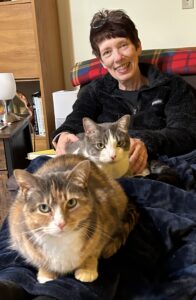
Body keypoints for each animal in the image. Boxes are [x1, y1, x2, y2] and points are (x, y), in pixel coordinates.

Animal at [8, 155, 138, 284]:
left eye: (71, 202)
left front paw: (87, 269)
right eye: (43, 208)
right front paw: (46, 274)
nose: (61, 223)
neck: (61, 241)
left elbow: (94, 251)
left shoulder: (106, 220)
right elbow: (38, 258)